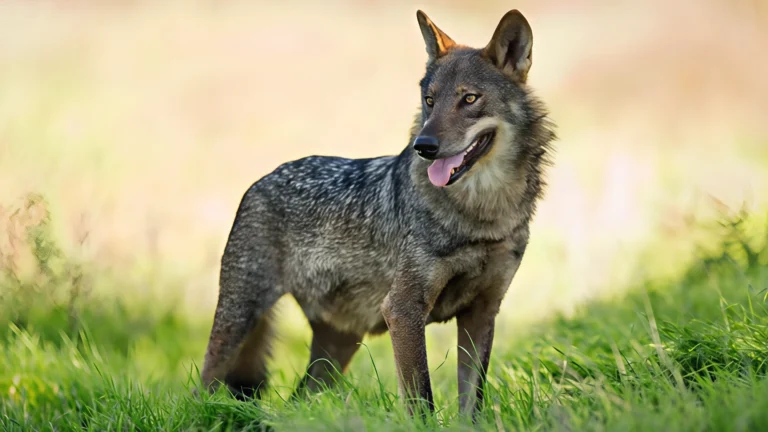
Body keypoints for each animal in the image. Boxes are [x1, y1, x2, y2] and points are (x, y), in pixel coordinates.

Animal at [200, 9, 555, 417]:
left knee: (298, 400)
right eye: (429, 100)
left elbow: (472, 403)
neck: (483, 216)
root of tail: (260, 181)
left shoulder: (482, 312)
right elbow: (421, 397)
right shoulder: (402, 309)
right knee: (201, 388)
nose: (424, 146)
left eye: (469, 98)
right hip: (238, 321)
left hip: (337, 348)